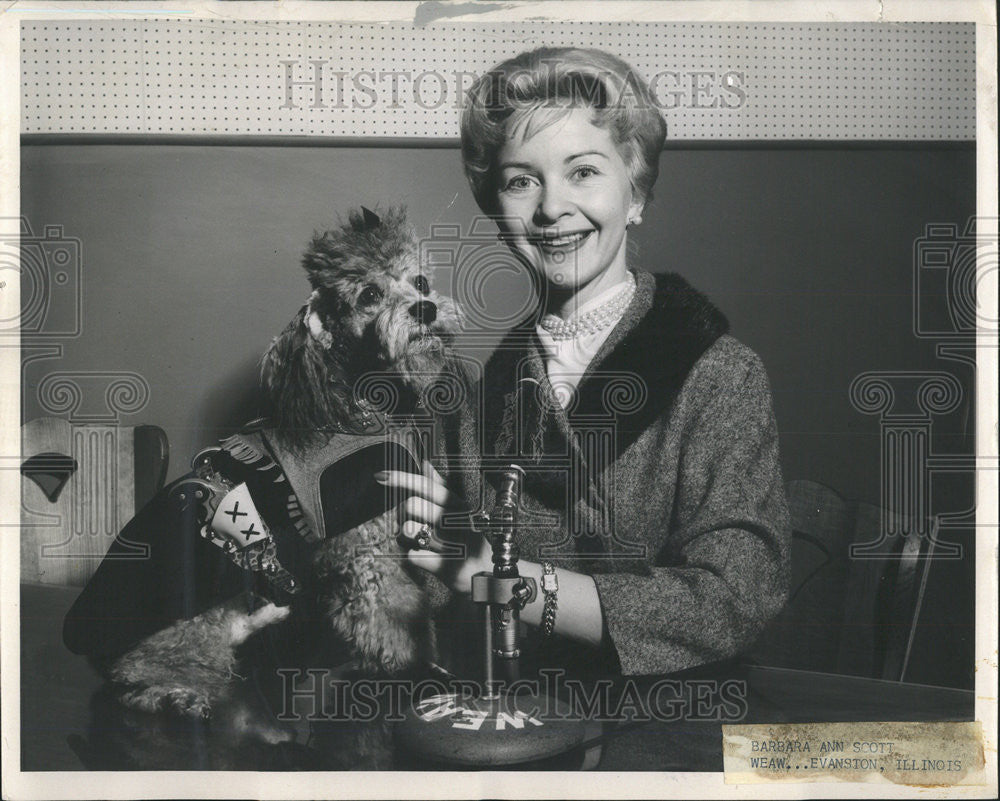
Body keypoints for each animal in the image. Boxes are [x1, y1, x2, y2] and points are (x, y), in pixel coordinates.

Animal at [103, 208, 462, 744]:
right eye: (369, 295)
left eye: (419, 281)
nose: (425, 308)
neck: (359, 404)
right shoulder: (362, 550)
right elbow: (390, 609)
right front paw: (408, 666)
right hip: (192, 616)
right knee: (143, 670)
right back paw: (176, 696)